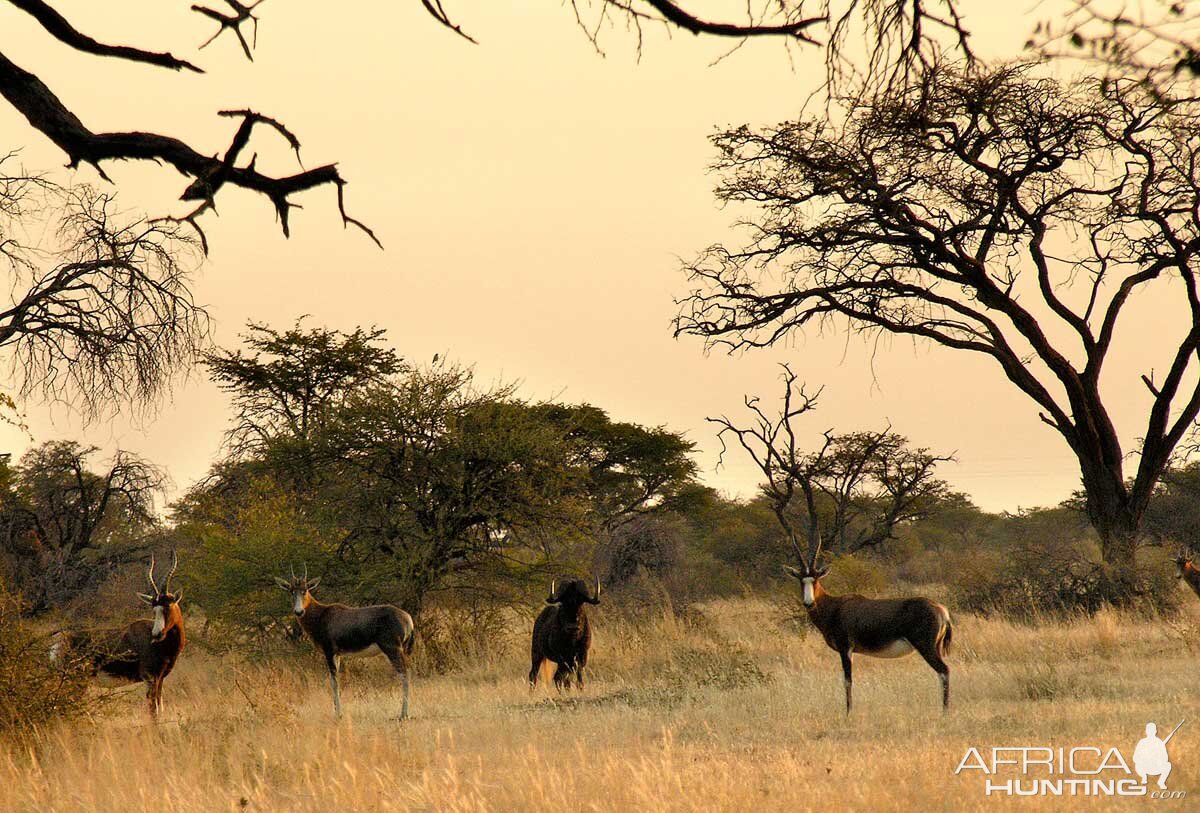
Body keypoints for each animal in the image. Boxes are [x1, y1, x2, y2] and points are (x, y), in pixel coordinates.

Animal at [51, 553, 184, 719]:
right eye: (154, 610)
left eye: (167, 606)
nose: (156, 634)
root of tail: (58, 640)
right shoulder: (150, 678)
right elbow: (154, 711)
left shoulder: (160, 679)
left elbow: (160, 708)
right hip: (74, 679)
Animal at [274, 565, 415, 719]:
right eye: (291, 591)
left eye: (305, 590)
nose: (298, 612)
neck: (322, 614)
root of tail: (408, 619)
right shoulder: (338, 654)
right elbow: (337, 680)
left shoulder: (329, 652)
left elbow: (334, 681)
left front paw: (338, 714)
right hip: (402, 650)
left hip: (392, 650)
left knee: (404, 674)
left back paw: (403, 715)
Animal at [782, 527, 950, 714]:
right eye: (801, 580)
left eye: (816, 579)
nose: (809, 603)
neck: (835, 606)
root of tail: (941, 610)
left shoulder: (845, 649)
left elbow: (847, 681)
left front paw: (848, 713)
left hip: (926, 647)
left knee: (944, 671)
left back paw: (944, 712)